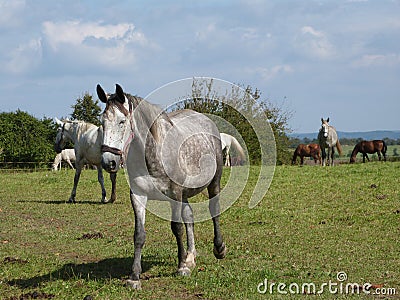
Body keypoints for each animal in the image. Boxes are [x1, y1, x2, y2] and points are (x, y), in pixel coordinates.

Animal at [97, 84, 227, 288]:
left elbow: (177, 229)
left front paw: (181, 267)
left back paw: (218, 248)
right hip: (185, 194)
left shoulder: (174, 194)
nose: (108, 162)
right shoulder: (138, 196)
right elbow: (139, 235)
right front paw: (134, 277)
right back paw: (191, 257)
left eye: (122, 121)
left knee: (214, 210)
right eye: (102, 122)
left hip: (213, 182)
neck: (153, 153)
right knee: (189, 216)